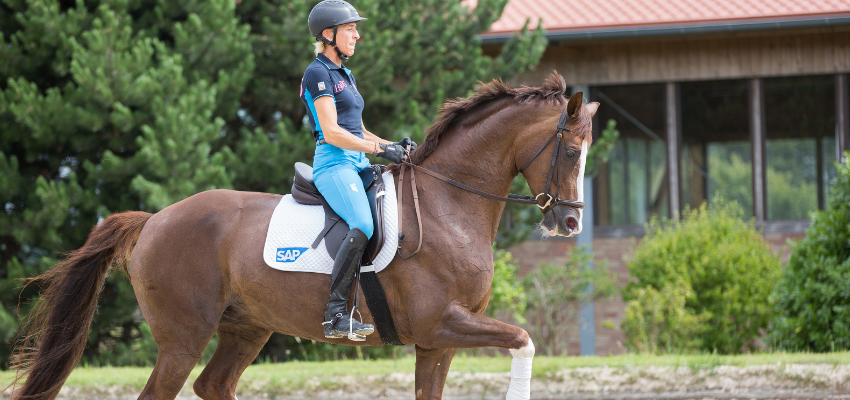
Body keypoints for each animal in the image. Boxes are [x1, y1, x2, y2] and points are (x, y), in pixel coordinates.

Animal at [9, 71, 598, 400]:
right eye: (571, 151)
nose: (570, 223)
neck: (449, 204)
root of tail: (154, 219)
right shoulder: (444, 323)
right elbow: (524, 338)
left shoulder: (438, 341)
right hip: (183, 338)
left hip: (246, 328)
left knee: (213, 385)